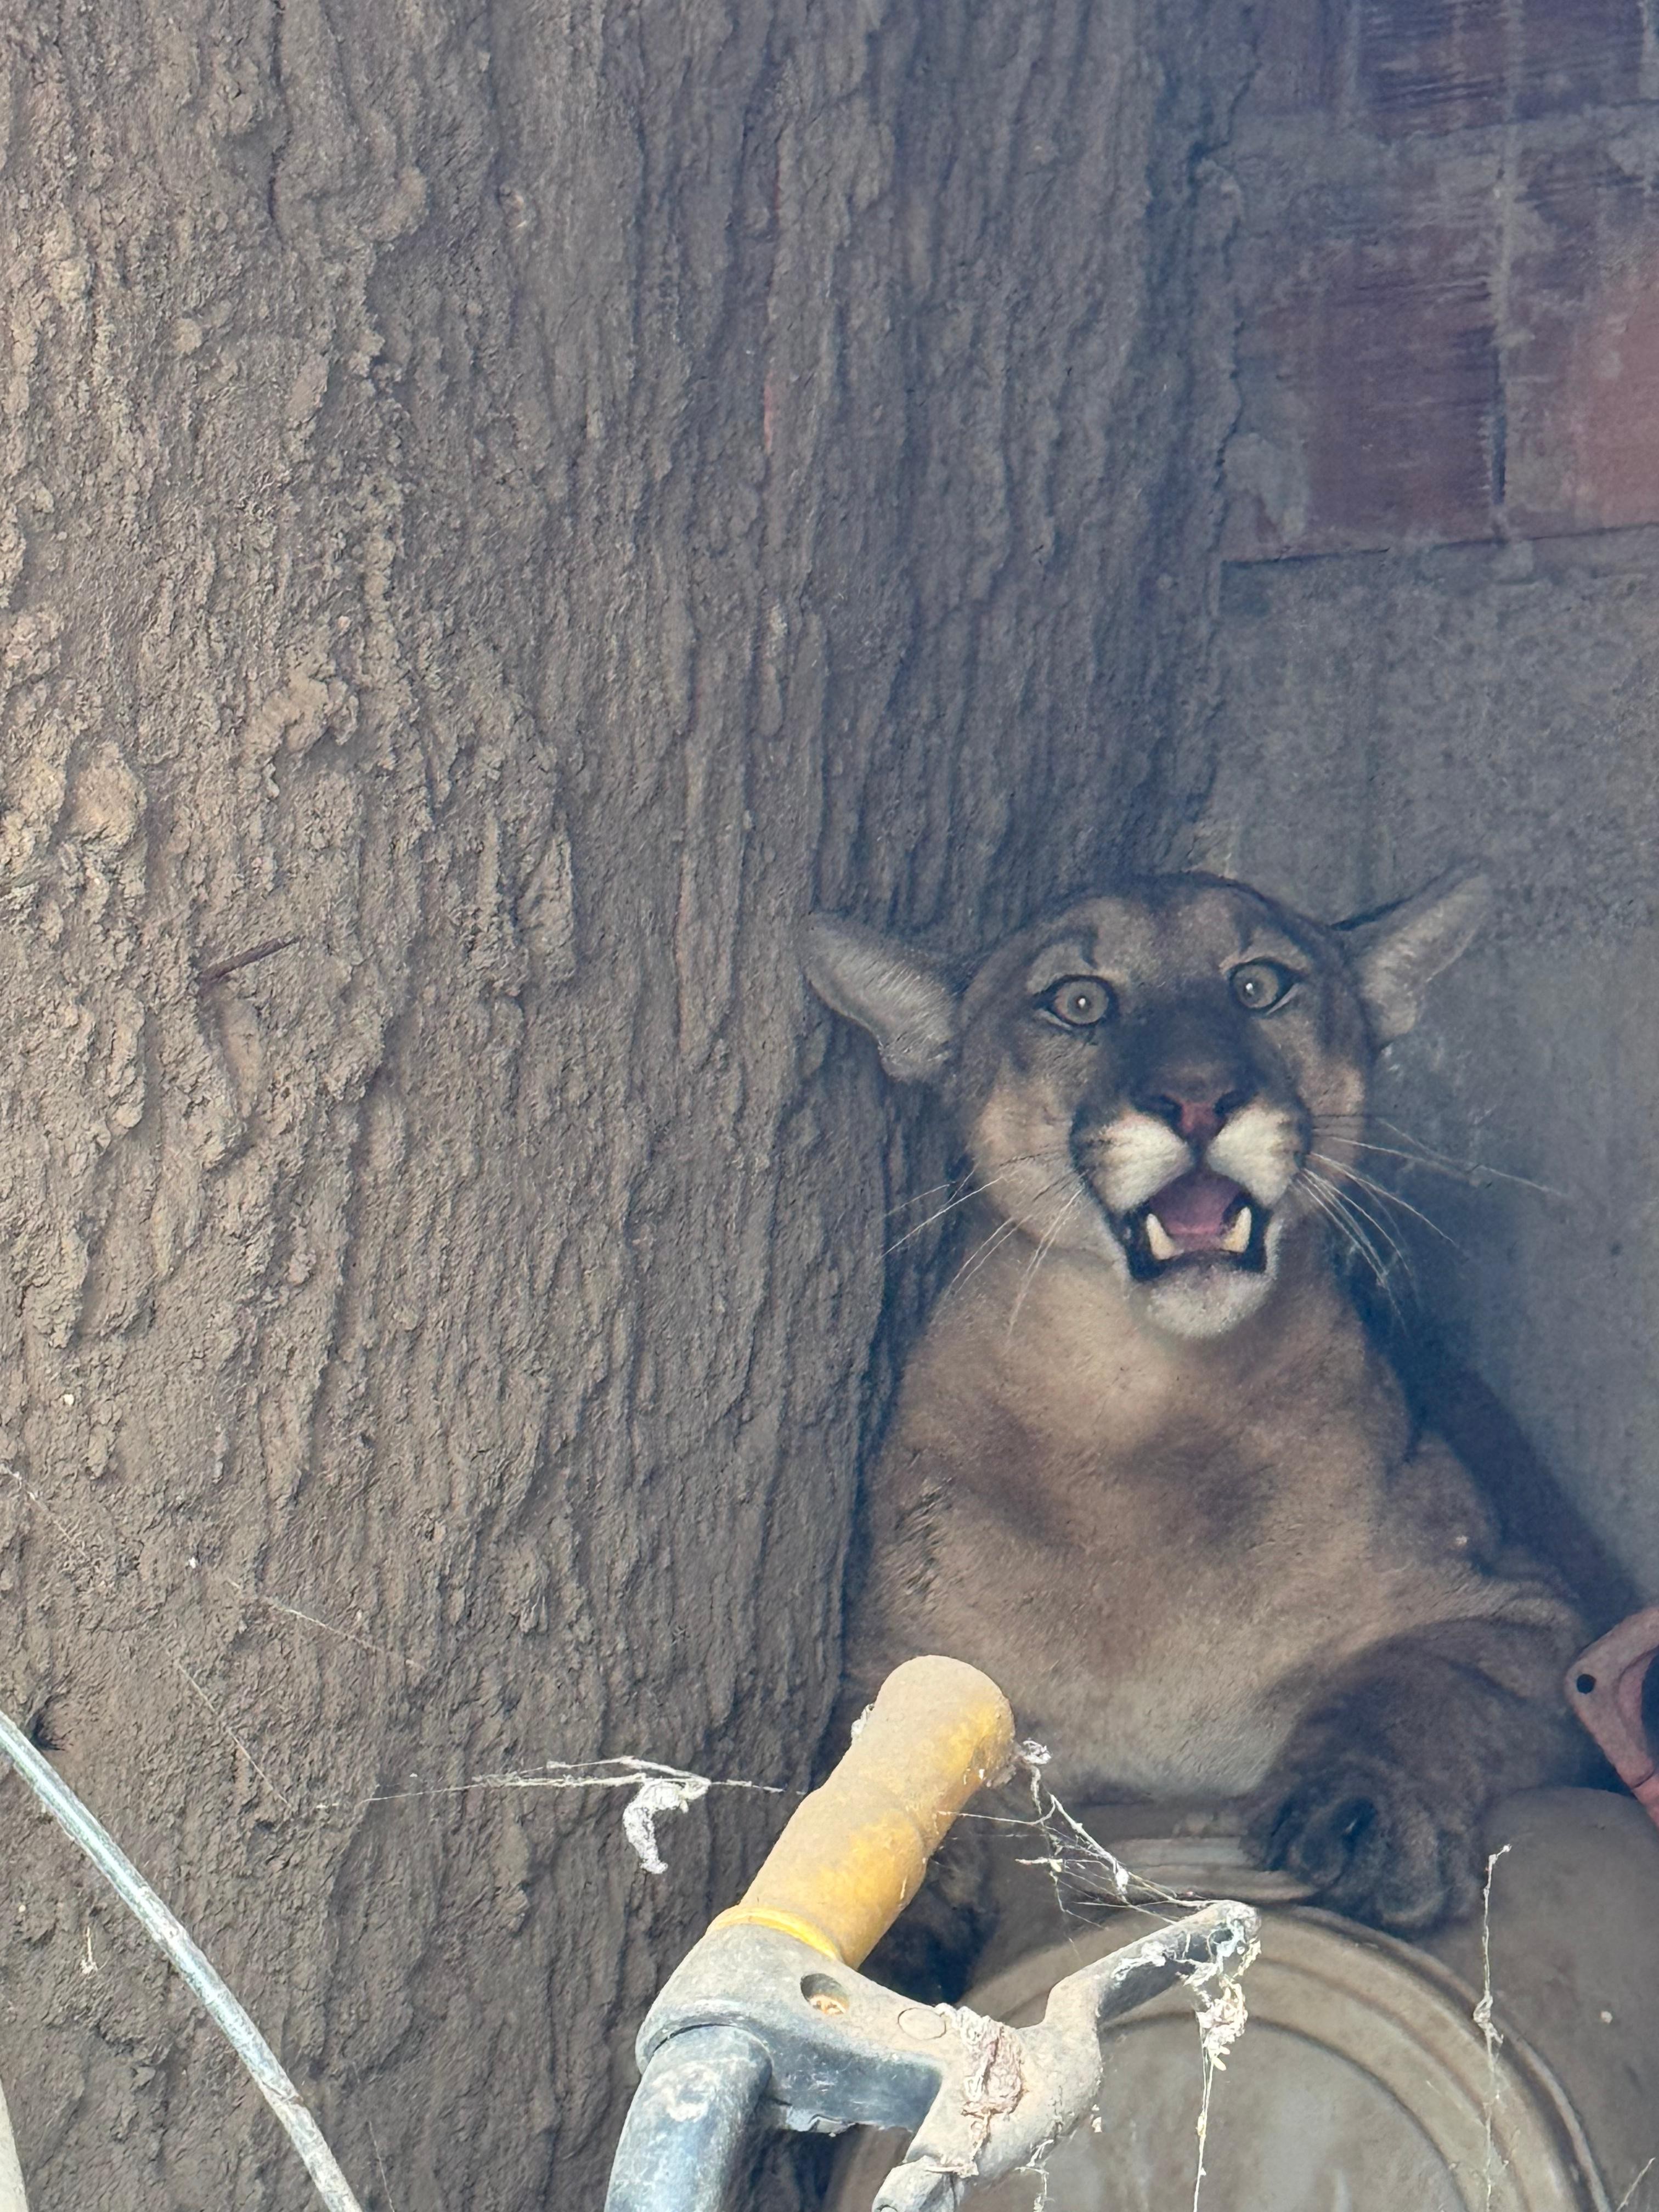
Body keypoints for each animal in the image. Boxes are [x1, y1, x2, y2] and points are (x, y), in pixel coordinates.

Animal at [805, 862, 1583, 1955]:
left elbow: (1417, 1681)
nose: (1198, 1099)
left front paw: (1359, 1812)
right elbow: (872, 1770)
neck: (1142, 1411)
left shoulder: (1534, 1615)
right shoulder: (882, 1660)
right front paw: (893, 1929)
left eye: (1258, 985)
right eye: (1078, 1001)